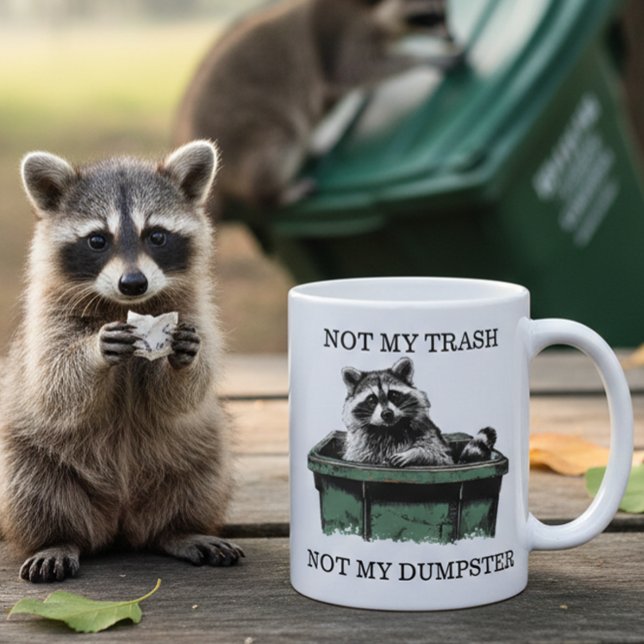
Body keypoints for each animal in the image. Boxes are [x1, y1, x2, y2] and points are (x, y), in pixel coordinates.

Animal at [0, 140, 244, 582]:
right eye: (98, 240)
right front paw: (94, 353)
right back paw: (56, 539)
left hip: (195, 449)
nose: (133, 283)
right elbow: (53, 382)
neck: (123, 305)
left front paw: (184, 361)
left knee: (202, 472)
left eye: (157, 236)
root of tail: (120, 519)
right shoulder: (45, 320)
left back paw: (179, 529)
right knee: (31, 486)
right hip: (28, 452)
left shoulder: (197, 310)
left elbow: (186, 393)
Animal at [174, 0, 462, 215]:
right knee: (278, 149)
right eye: (428, 16)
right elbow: (354, 69)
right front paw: (423, 59)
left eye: (445, 12)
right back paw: (273, 194)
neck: (369, 10)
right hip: (250, 132)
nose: (451, 37)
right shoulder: (339, 34)